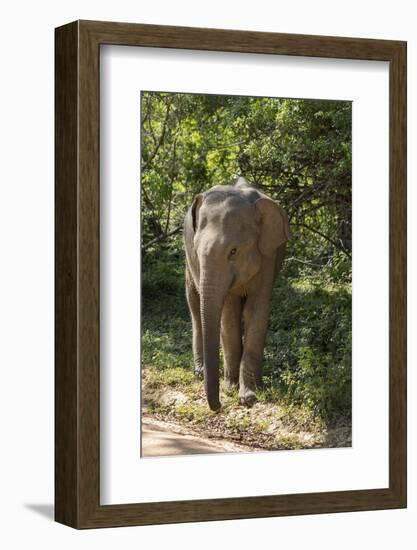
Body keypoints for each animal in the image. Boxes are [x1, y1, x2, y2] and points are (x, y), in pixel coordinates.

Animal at [184, 179, 288, 412]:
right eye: (198, 251)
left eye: (233, 251)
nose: (219, 406)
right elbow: (229, 316)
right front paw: (231, 388)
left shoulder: (268, 255)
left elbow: (255, 313)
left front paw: (249, 396)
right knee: (194, 304)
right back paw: (199, 372)